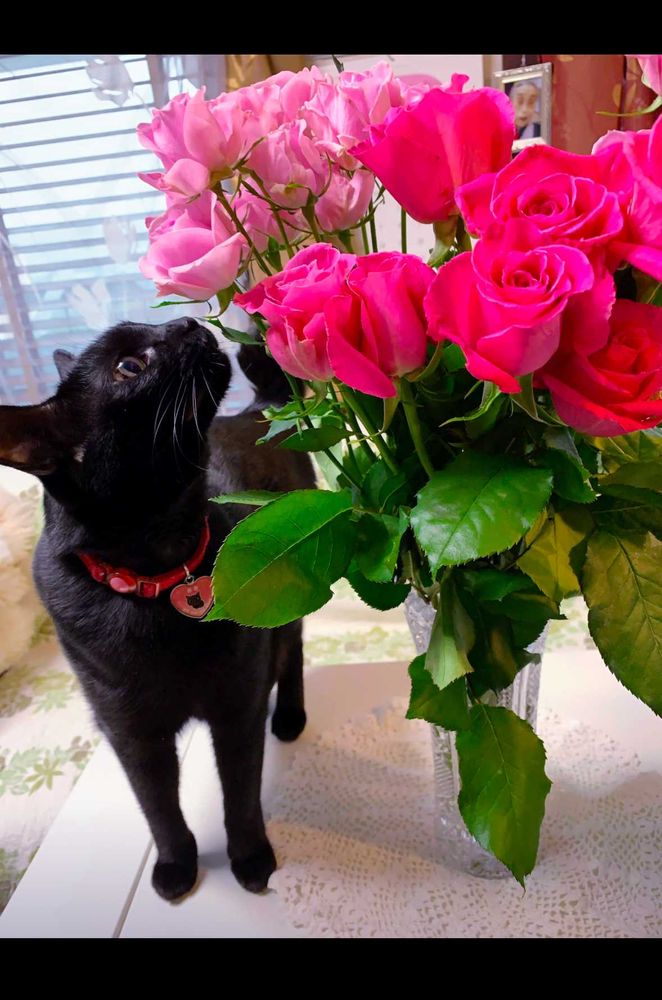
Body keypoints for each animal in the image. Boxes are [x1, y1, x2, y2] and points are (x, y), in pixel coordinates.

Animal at [0, 317, 315, 901]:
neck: (159, 574)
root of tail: (256, 409)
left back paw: (288, 716)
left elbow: (240, 795)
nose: (185, 322)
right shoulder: (130, 733)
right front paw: (176, 866)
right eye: (130, 366)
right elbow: (158, 807)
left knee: (294, 652)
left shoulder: (237, 707)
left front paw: (250, 859)